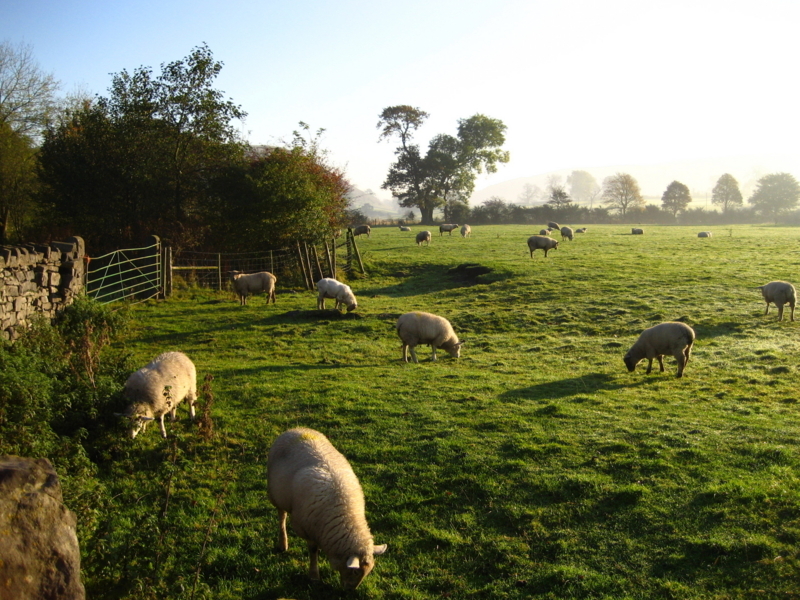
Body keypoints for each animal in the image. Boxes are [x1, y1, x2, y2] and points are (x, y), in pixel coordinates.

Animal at [268, 426, 388, 592]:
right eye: (355, 572)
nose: (350, 591)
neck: (343, 511)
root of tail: (296, 429)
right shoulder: (308, 529)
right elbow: (313, 552)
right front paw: (314, 576)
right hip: (276, 496)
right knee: (282, 517)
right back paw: (282, 544)